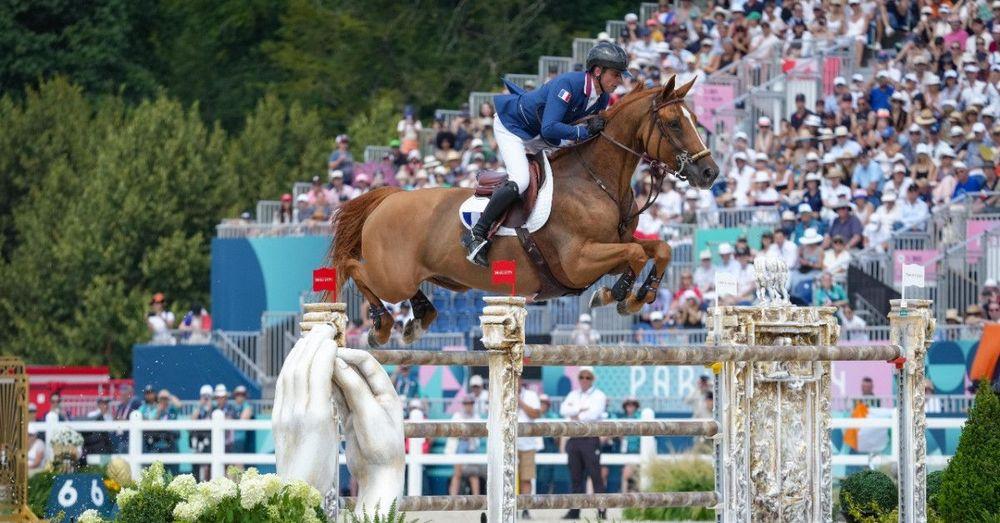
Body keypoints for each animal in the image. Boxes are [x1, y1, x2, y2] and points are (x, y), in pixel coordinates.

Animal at [330, 77, 720, 348]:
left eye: (694, 119)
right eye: (674, 123)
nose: (710, 173)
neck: (596, 181)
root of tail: (389, 198)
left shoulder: (613, 246)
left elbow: (657, 249)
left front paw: (638, 297)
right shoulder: (579, 261)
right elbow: (636, 255)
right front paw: (617, 294)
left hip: (414, 275)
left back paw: (419, 319)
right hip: (392, 276)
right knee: (354, 270)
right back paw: (382, 325)